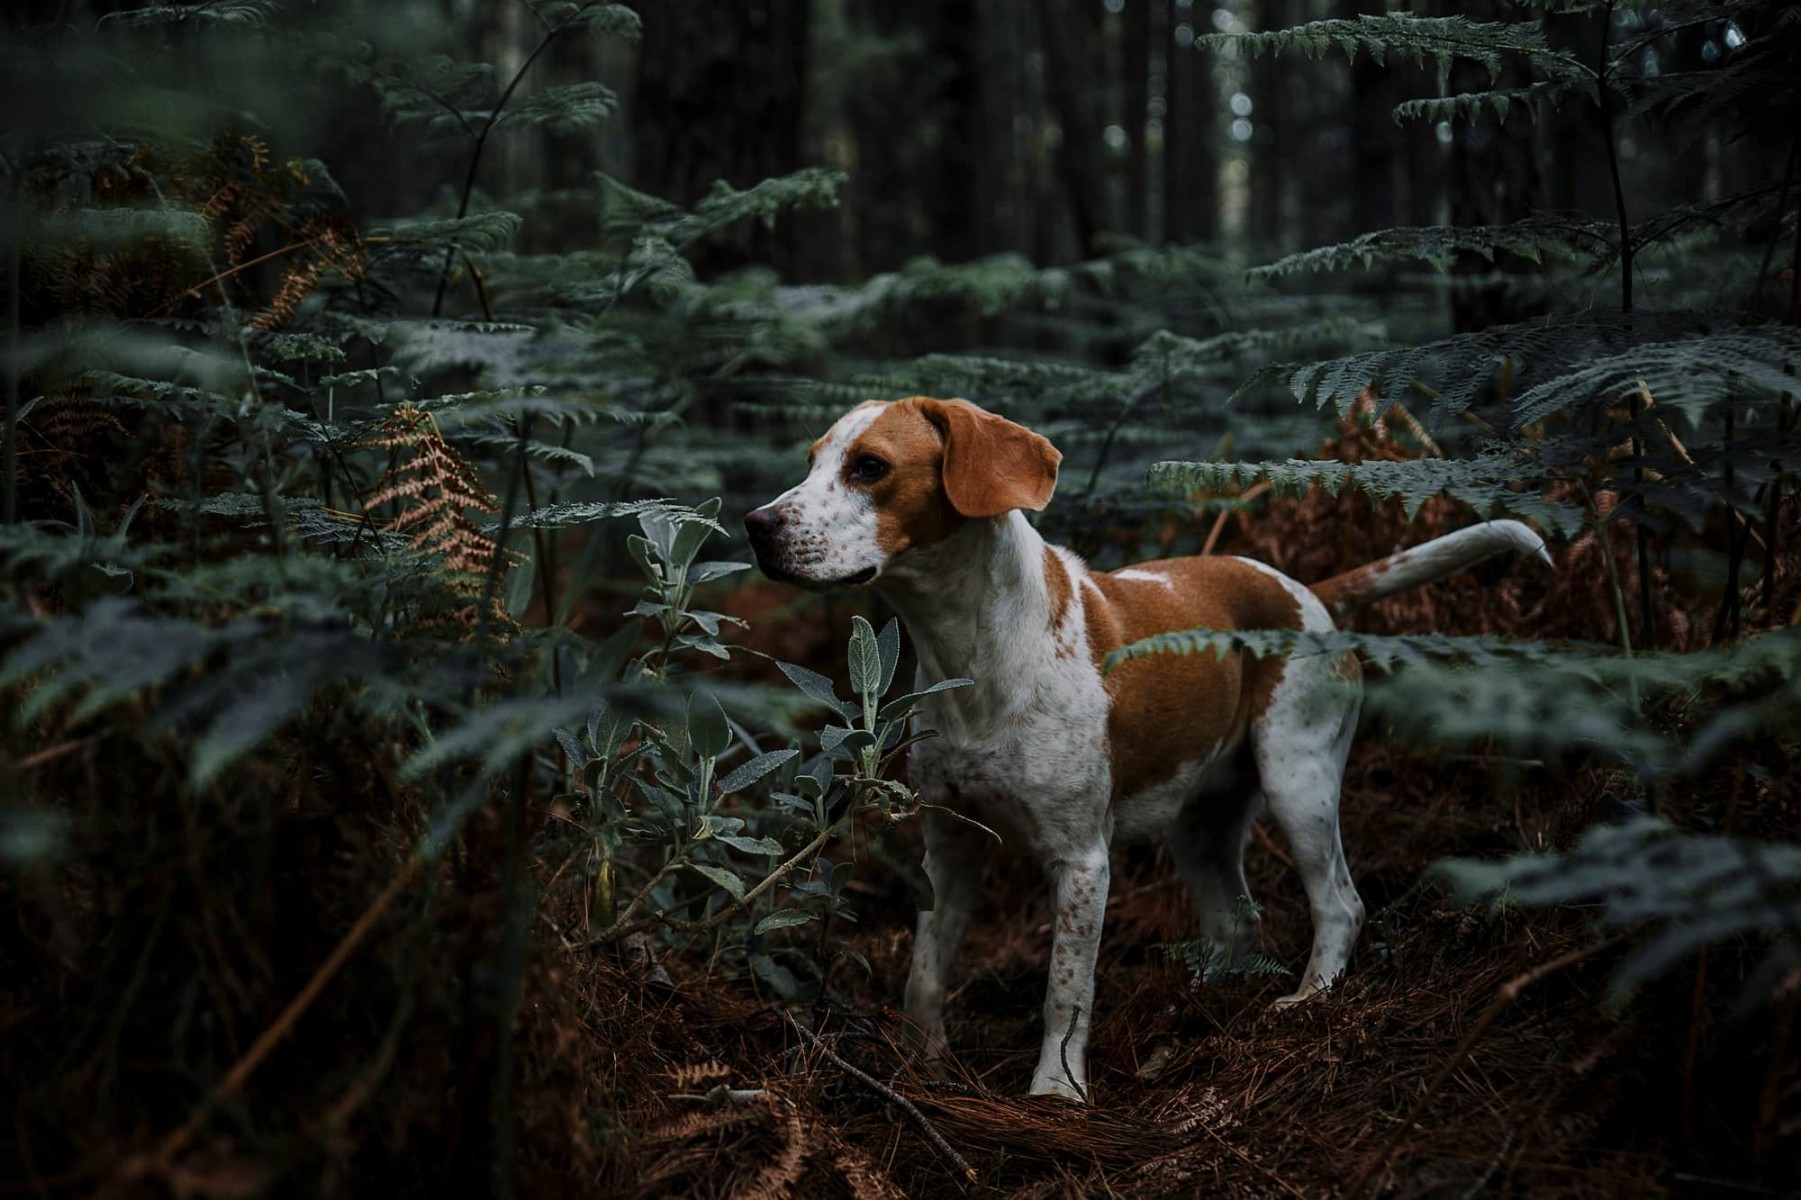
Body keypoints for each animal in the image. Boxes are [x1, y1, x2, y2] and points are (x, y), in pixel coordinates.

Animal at [745, 396, 1548, 1095]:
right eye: (812, 461)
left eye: (870, 467)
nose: (755, 523)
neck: (974, 657)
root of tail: (1308, 592)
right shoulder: (948, 844)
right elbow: (925, 969)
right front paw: (923, 1063)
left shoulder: (1081, 862)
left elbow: (1065, 993)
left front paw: (1057, 1093)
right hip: (1200, 822)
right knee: (1236, 922)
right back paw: (1185, 1003)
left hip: (1300, 780)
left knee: (1341, 904)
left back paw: (1305, 1004)